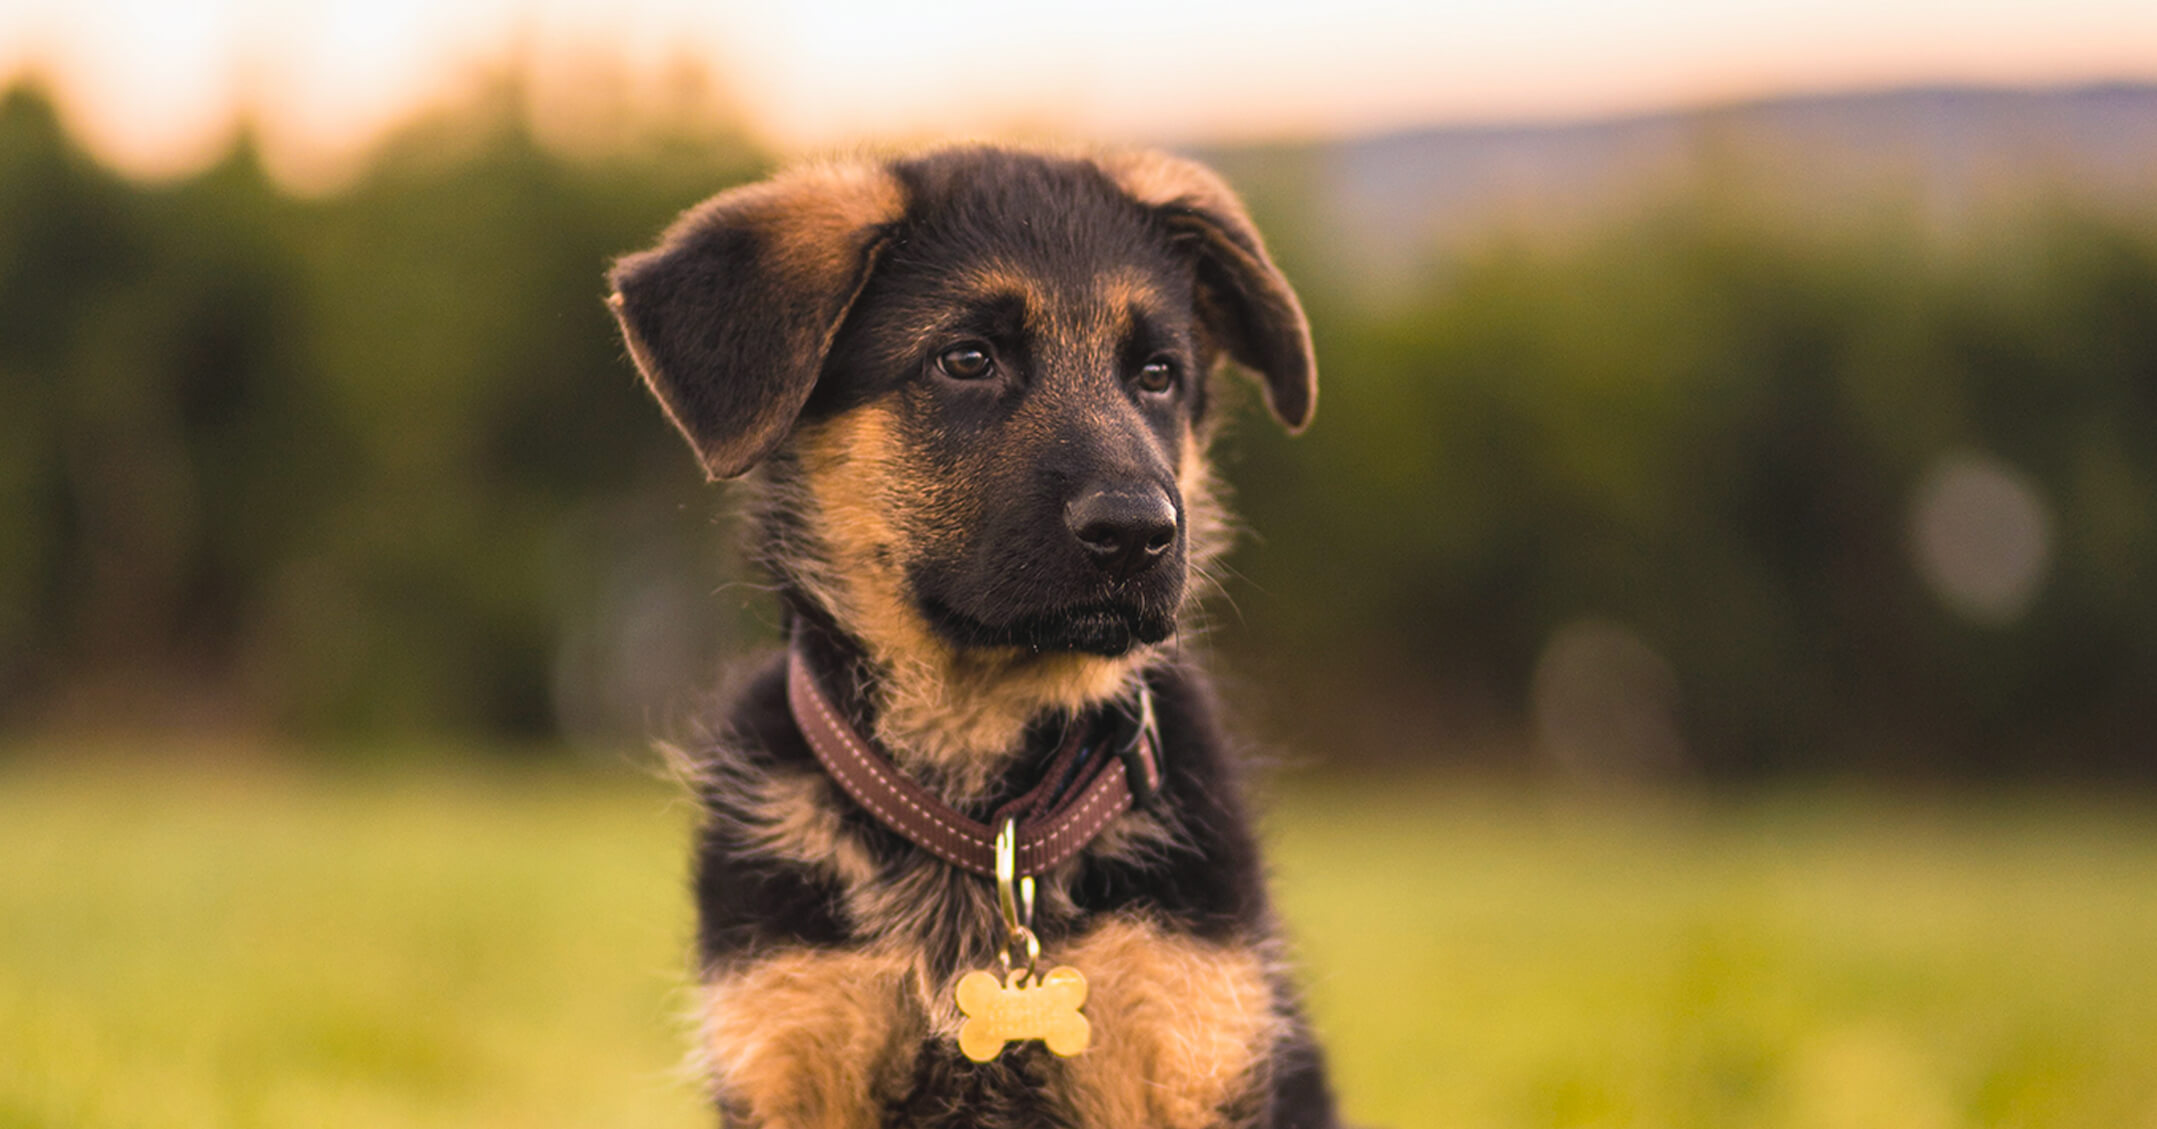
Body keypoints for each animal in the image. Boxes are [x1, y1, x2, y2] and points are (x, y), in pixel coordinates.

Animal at [608, 145, 1337, 1129]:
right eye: (966, 359)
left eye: (1156, 373)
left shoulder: (1186, 1044)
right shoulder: (793, 1043)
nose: (1137, 531)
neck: (980, 798)